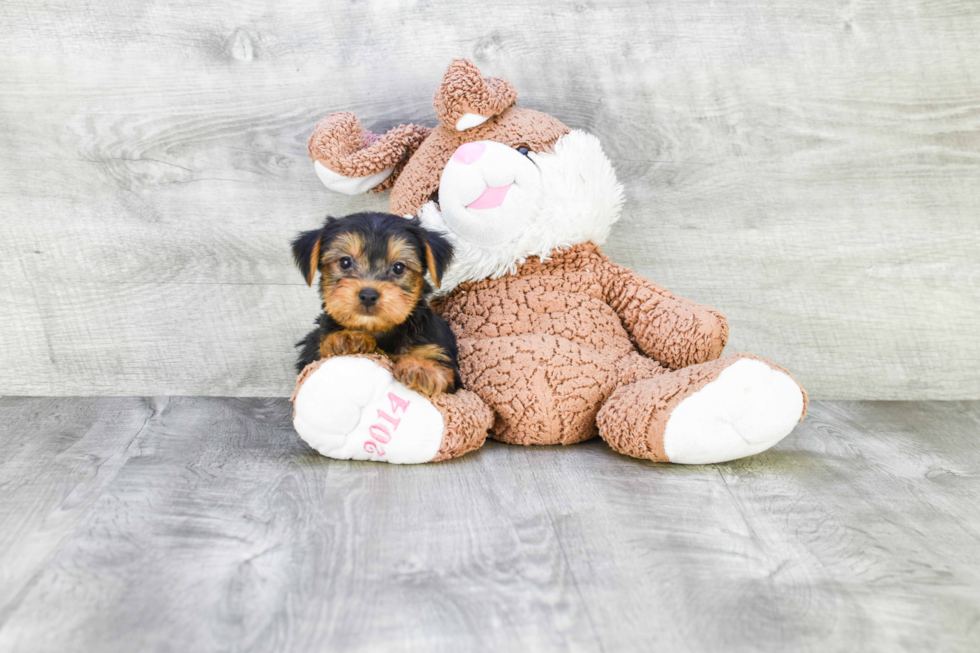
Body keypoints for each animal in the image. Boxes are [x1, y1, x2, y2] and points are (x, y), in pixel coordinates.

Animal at [290, 214, 460, 394]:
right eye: (345, 262)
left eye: (398, 267)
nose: (368, 295)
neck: (378, 329)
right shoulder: (310, 352)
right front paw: (347, 337)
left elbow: (442, 367)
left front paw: (422, 368)